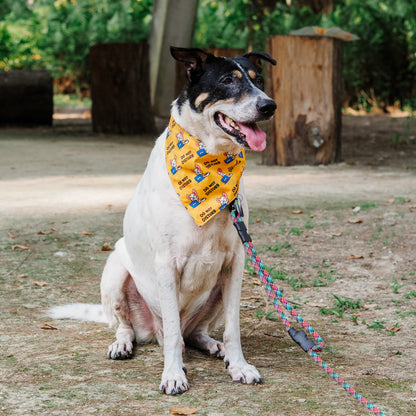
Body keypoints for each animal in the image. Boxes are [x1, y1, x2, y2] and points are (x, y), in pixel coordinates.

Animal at [49, 47, 276, 394]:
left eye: (259, 80)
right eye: (227, 80)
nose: (269, 106)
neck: (209, 165)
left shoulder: (235, 263)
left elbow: (233, 327)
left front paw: (238, 365)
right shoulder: (167, 264)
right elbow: (170, 329)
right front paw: (173, 374)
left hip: (215, 292)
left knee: (193, 334)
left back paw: (214, 346)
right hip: (116, 271)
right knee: (134, 328)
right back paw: (124, 344)